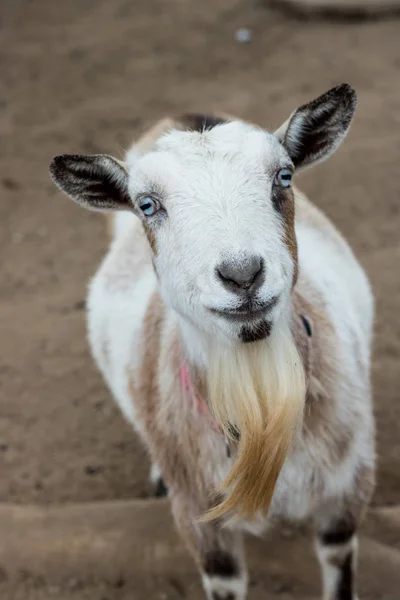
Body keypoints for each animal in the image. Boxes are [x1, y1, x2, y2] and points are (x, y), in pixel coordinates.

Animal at [50, 85, 376, 600]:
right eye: (147, 204)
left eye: (284, 176)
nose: (242, 274)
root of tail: (183, 113)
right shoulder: (201, 519)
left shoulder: (347, 490)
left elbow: (339, 564)